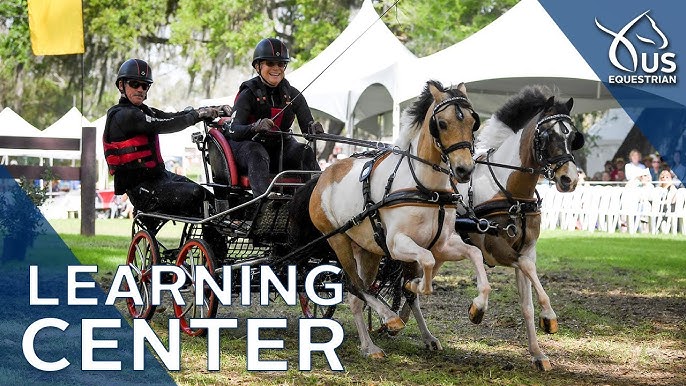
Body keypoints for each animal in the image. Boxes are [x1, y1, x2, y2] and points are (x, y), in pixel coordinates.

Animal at [292, 80, 492, 358]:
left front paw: (477, 308)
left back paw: (369, 346)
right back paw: (389, 318)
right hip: (338, 240)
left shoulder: (443, 243)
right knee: (355, 286)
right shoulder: (397, 244)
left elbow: (473, 254)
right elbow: (425, 265)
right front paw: (414, 286)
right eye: (441, 123)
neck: (426, 189)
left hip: (368, 250)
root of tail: (322, 175)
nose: (464, 170)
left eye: (473, 122)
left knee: (356, 296)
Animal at [456, 85, 584, 370]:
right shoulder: (494, 246)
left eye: (573, 137)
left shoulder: (527, 249)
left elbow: (527, 304)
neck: (511, 191)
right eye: (547, 135)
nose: (569, 180)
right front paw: (550, 316)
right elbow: (526, 268)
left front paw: (538, 353)